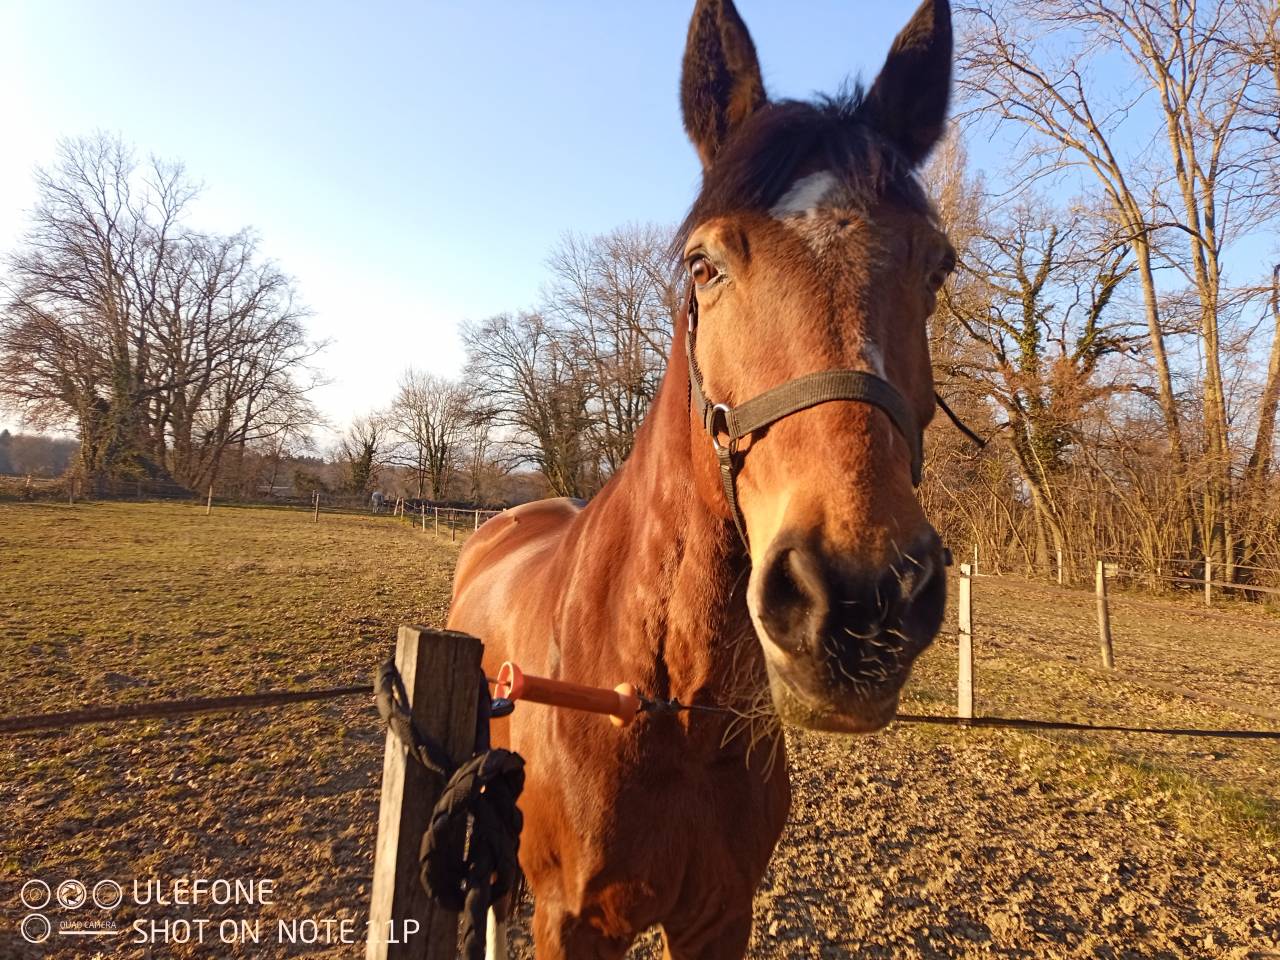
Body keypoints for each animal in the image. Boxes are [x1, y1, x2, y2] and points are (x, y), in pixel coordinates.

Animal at [447, 0, 955, 955]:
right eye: (703, 265)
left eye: (937, 267)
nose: (860, 598)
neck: (666, 707)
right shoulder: (571, 922)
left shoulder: (722, 915)